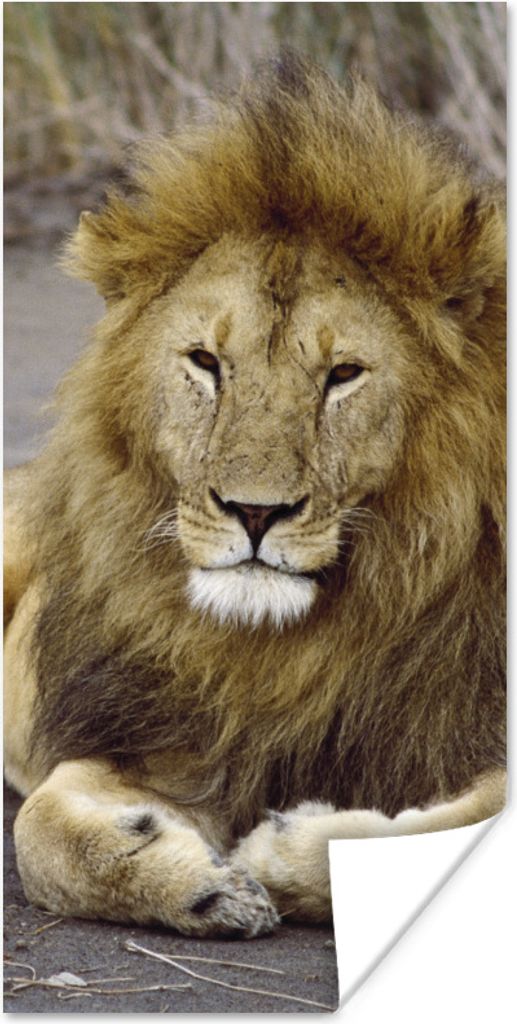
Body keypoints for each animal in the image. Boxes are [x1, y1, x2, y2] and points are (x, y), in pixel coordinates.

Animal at [4, 54, 506, 939]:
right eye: (205, 362)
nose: (255, 512)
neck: (280, 652)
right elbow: (41, 832)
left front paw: (282, 852)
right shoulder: (169, 734)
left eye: (342, 375)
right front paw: (191, 880)